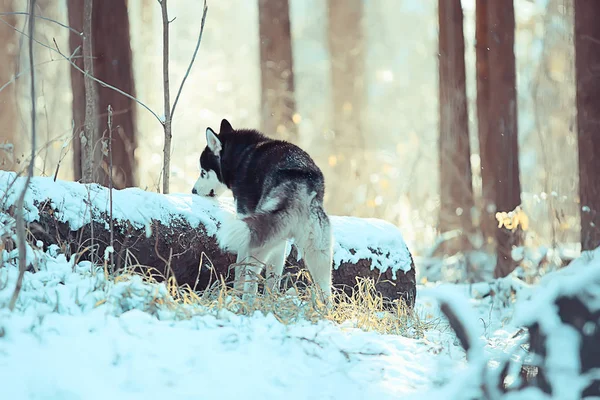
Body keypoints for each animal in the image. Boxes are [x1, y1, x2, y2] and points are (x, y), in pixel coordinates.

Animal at [192, 120, 332, 302]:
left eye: (203, 172)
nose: (193, 191)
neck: (242, 154)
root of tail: (300, 184)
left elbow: (239, 272)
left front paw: (236, 295)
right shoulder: (280, 242)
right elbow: (273, 279)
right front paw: (270, 301)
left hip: (256, 242)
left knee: (250, 280)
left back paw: (246, 302)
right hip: (318, 252)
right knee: (326, 291)